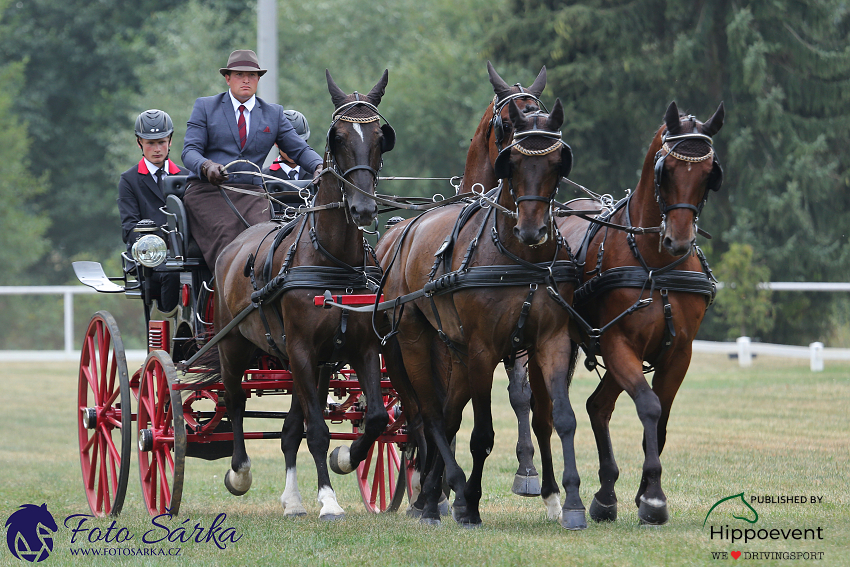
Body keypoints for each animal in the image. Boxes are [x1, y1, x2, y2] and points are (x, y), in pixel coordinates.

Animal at [212, 69, 398, 520]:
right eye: (339, 137)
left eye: (380, 138)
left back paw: (293, 499)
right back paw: (239, 472)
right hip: (234, 346)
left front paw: (346, 459)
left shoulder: (356, 348)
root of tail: (233, 243)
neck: (333, 259)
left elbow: (375, 417)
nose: (364, 209)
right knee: (235, 402)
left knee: (288, 428)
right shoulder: (300, 348)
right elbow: (317, 429)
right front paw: (329, 499)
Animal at [378, 64, 584, 532]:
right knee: (428, 414)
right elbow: (481, 434)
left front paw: (567, 499)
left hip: (453, 351)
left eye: (557, 161)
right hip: (413, 343)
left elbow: (556, 416)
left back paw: (433, 492)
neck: (518, 254)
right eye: (506, 126)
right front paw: (467, 501)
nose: (533, 229)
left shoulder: (546, 341)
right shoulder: (482, 349)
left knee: (446, 414)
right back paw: (437, 492)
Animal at [556, 100, 724, 524]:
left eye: (708, 174)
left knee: (598, 406)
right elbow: (649, 406)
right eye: (666, 171)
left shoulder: (679, 352)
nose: (678, 240)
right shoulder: (619, 343)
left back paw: (605, 494)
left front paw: (646, 492)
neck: (655, 263)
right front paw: (653, 498)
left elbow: (661, 416)